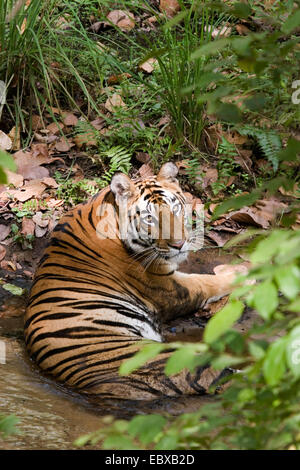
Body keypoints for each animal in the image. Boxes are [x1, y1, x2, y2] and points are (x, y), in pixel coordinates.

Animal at [24, 163, 243, 402]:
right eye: (149, 218)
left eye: (175, 209)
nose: (179, 244)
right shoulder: (171, 288)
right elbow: (210, 282)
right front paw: (246, 269)